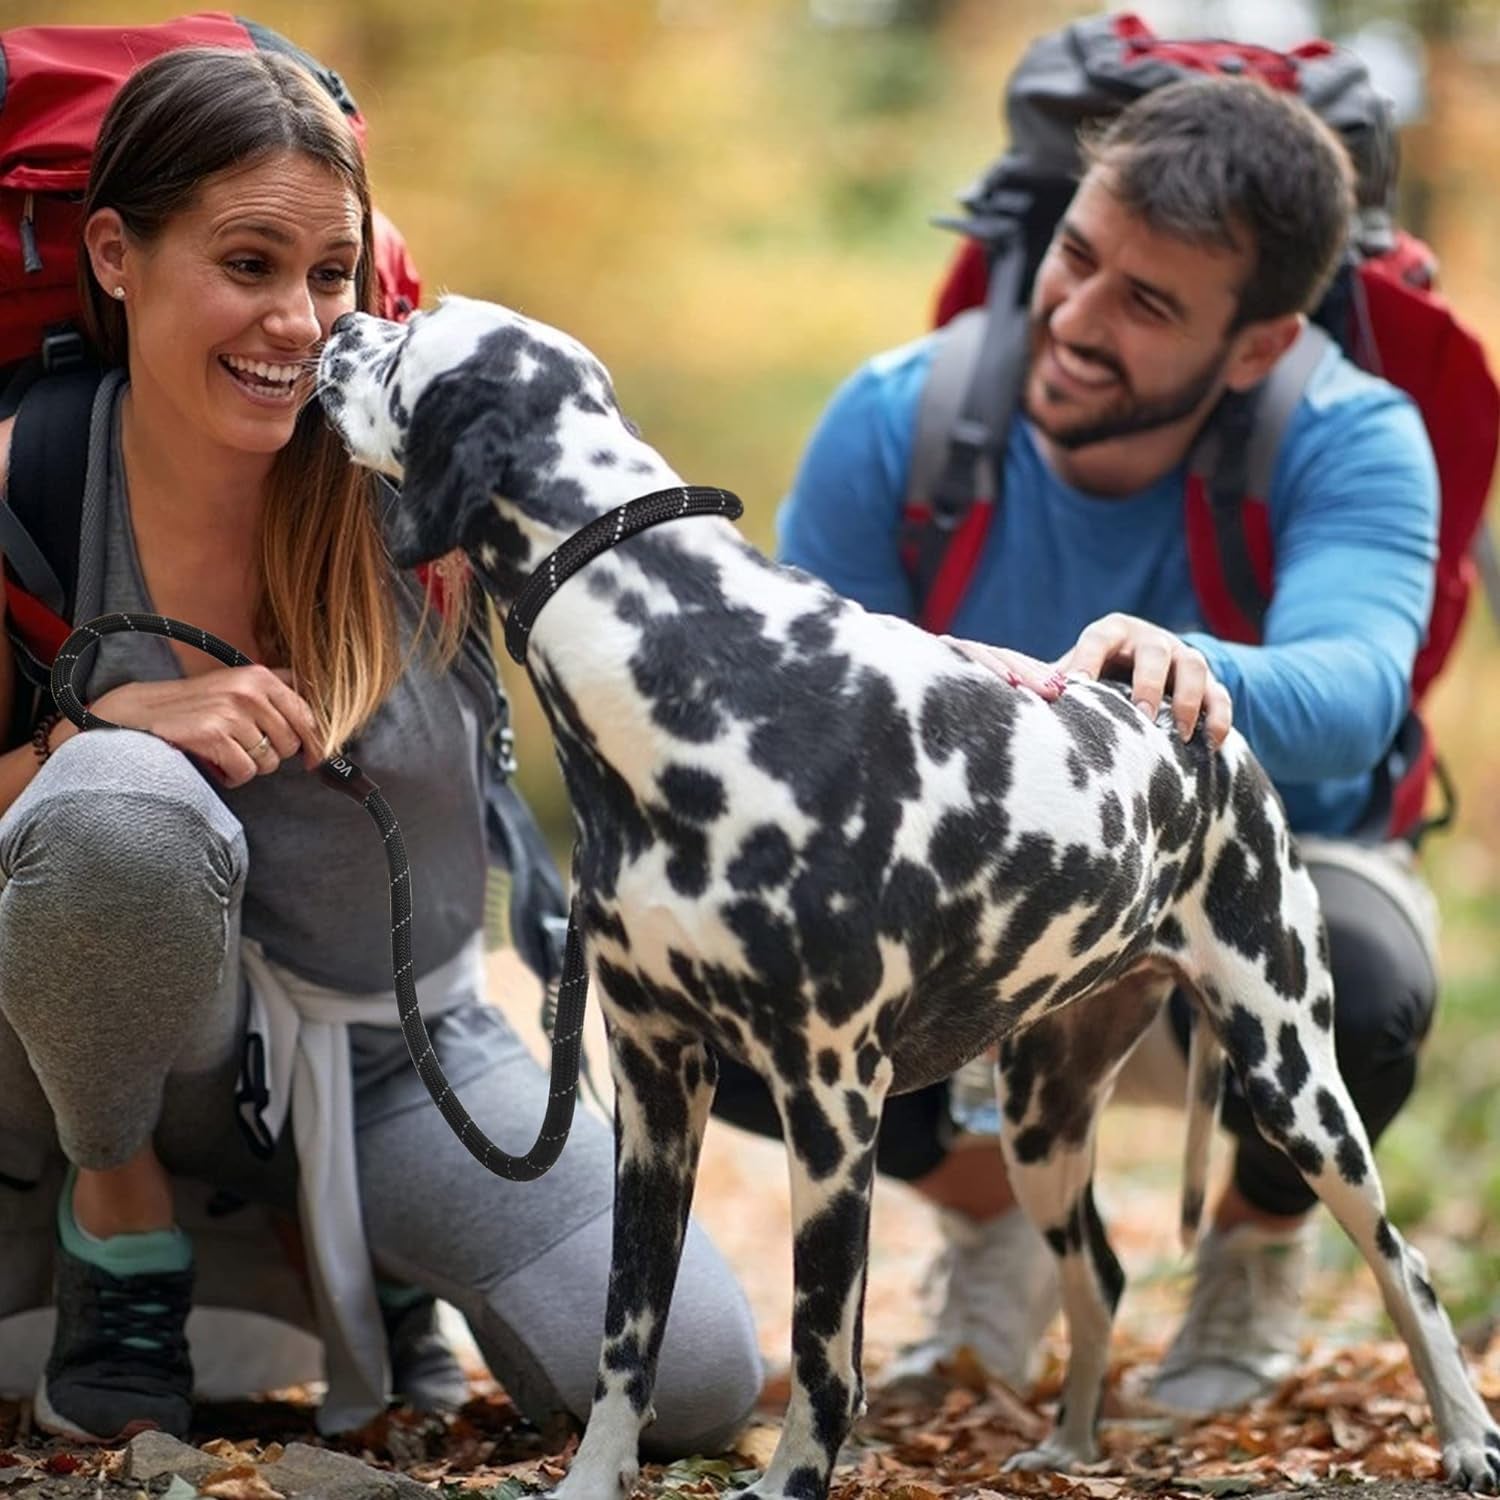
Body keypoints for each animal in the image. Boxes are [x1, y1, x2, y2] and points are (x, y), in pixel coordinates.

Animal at [319, 295, 1500, 1500]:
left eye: (411, 328)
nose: (344, 320)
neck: (686, 663)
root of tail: (1203, 729)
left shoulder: (832, 1103)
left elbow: (821, 1352)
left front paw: (787, 1484)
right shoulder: (655, 1089)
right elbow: (626, 1339)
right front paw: (594, 1481)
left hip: (1295, 1084)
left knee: (1404, 1265)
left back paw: (1462, 1436)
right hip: (1044, 1125)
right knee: (1101, 1277)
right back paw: (1071, 1445)